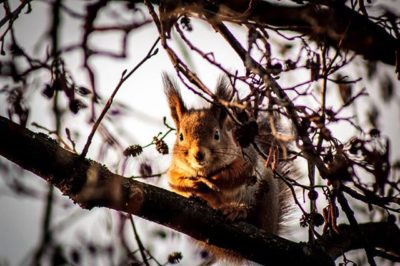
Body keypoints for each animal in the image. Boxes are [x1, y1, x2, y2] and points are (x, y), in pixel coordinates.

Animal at [162, 74, 290, 262]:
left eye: (217, 134)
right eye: (181, 136)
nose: (198, 155)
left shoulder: (245, 160)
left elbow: (235, 176)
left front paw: (214, 180)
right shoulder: (175, 168)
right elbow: (174, 180)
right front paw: (194, 185)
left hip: (263, 198)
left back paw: (236, 210)